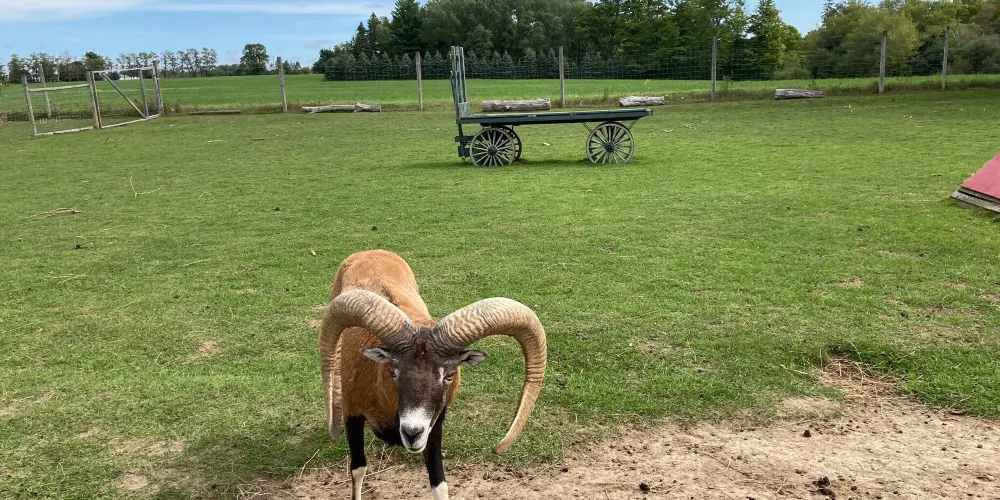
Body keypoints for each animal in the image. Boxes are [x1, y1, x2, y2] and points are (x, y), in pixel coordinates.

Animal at [319, 249, 547, 500]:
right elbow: (358, 470)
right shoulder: (352, 416)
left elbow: (439, 483)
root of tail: (371, 252)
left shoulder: (435, 425)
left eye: (449, 374)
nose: (411, 433)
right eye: (393, 371)